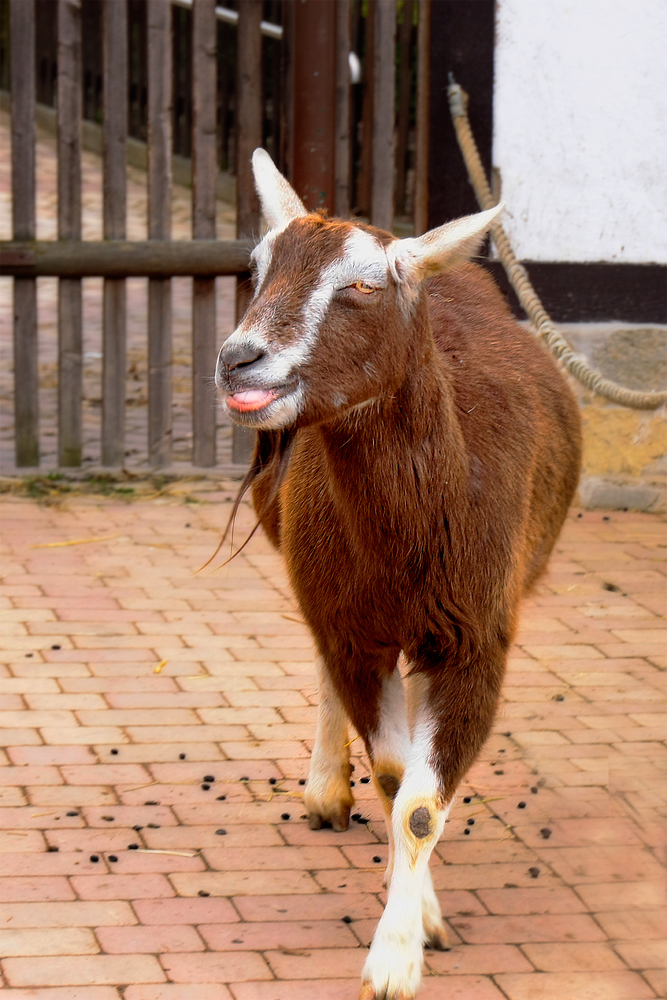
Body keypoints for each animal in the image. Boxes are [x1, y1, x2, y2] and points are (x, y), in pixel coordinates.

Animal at [217, 150, 580, 1000]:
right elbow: (393, 782)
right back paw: (325, 790)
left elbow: (420, 806)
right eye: (254, 268)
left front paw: (397, 954)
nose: (238, 359)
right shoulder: (352, 627)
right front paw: (410, 930)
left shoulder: (478, 636)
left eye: (361, 285)